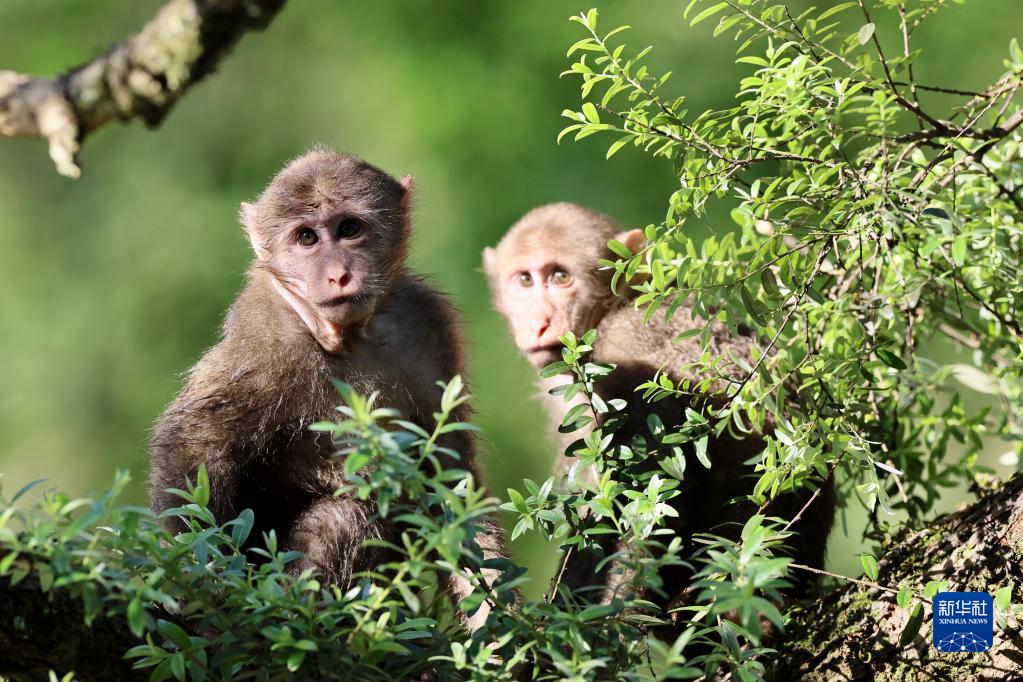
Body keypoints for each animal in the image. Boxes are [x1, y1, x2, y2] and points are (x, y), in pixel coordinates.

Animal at [151, 150, 511, 633]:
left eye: (349, 229)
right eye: (306, 238)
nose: (338, 275)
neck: (350, 336)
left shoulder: (428, 324)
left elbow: (451, 476)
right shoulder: (266, 334)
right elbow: (193, 443)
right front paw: (197, 579)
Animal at [482, 202, 834, 613]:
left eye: (560, 276)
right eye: (524, 281)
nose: (537, 323)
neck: (613, 310)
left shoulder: (628, 352)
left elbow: (650, 497)